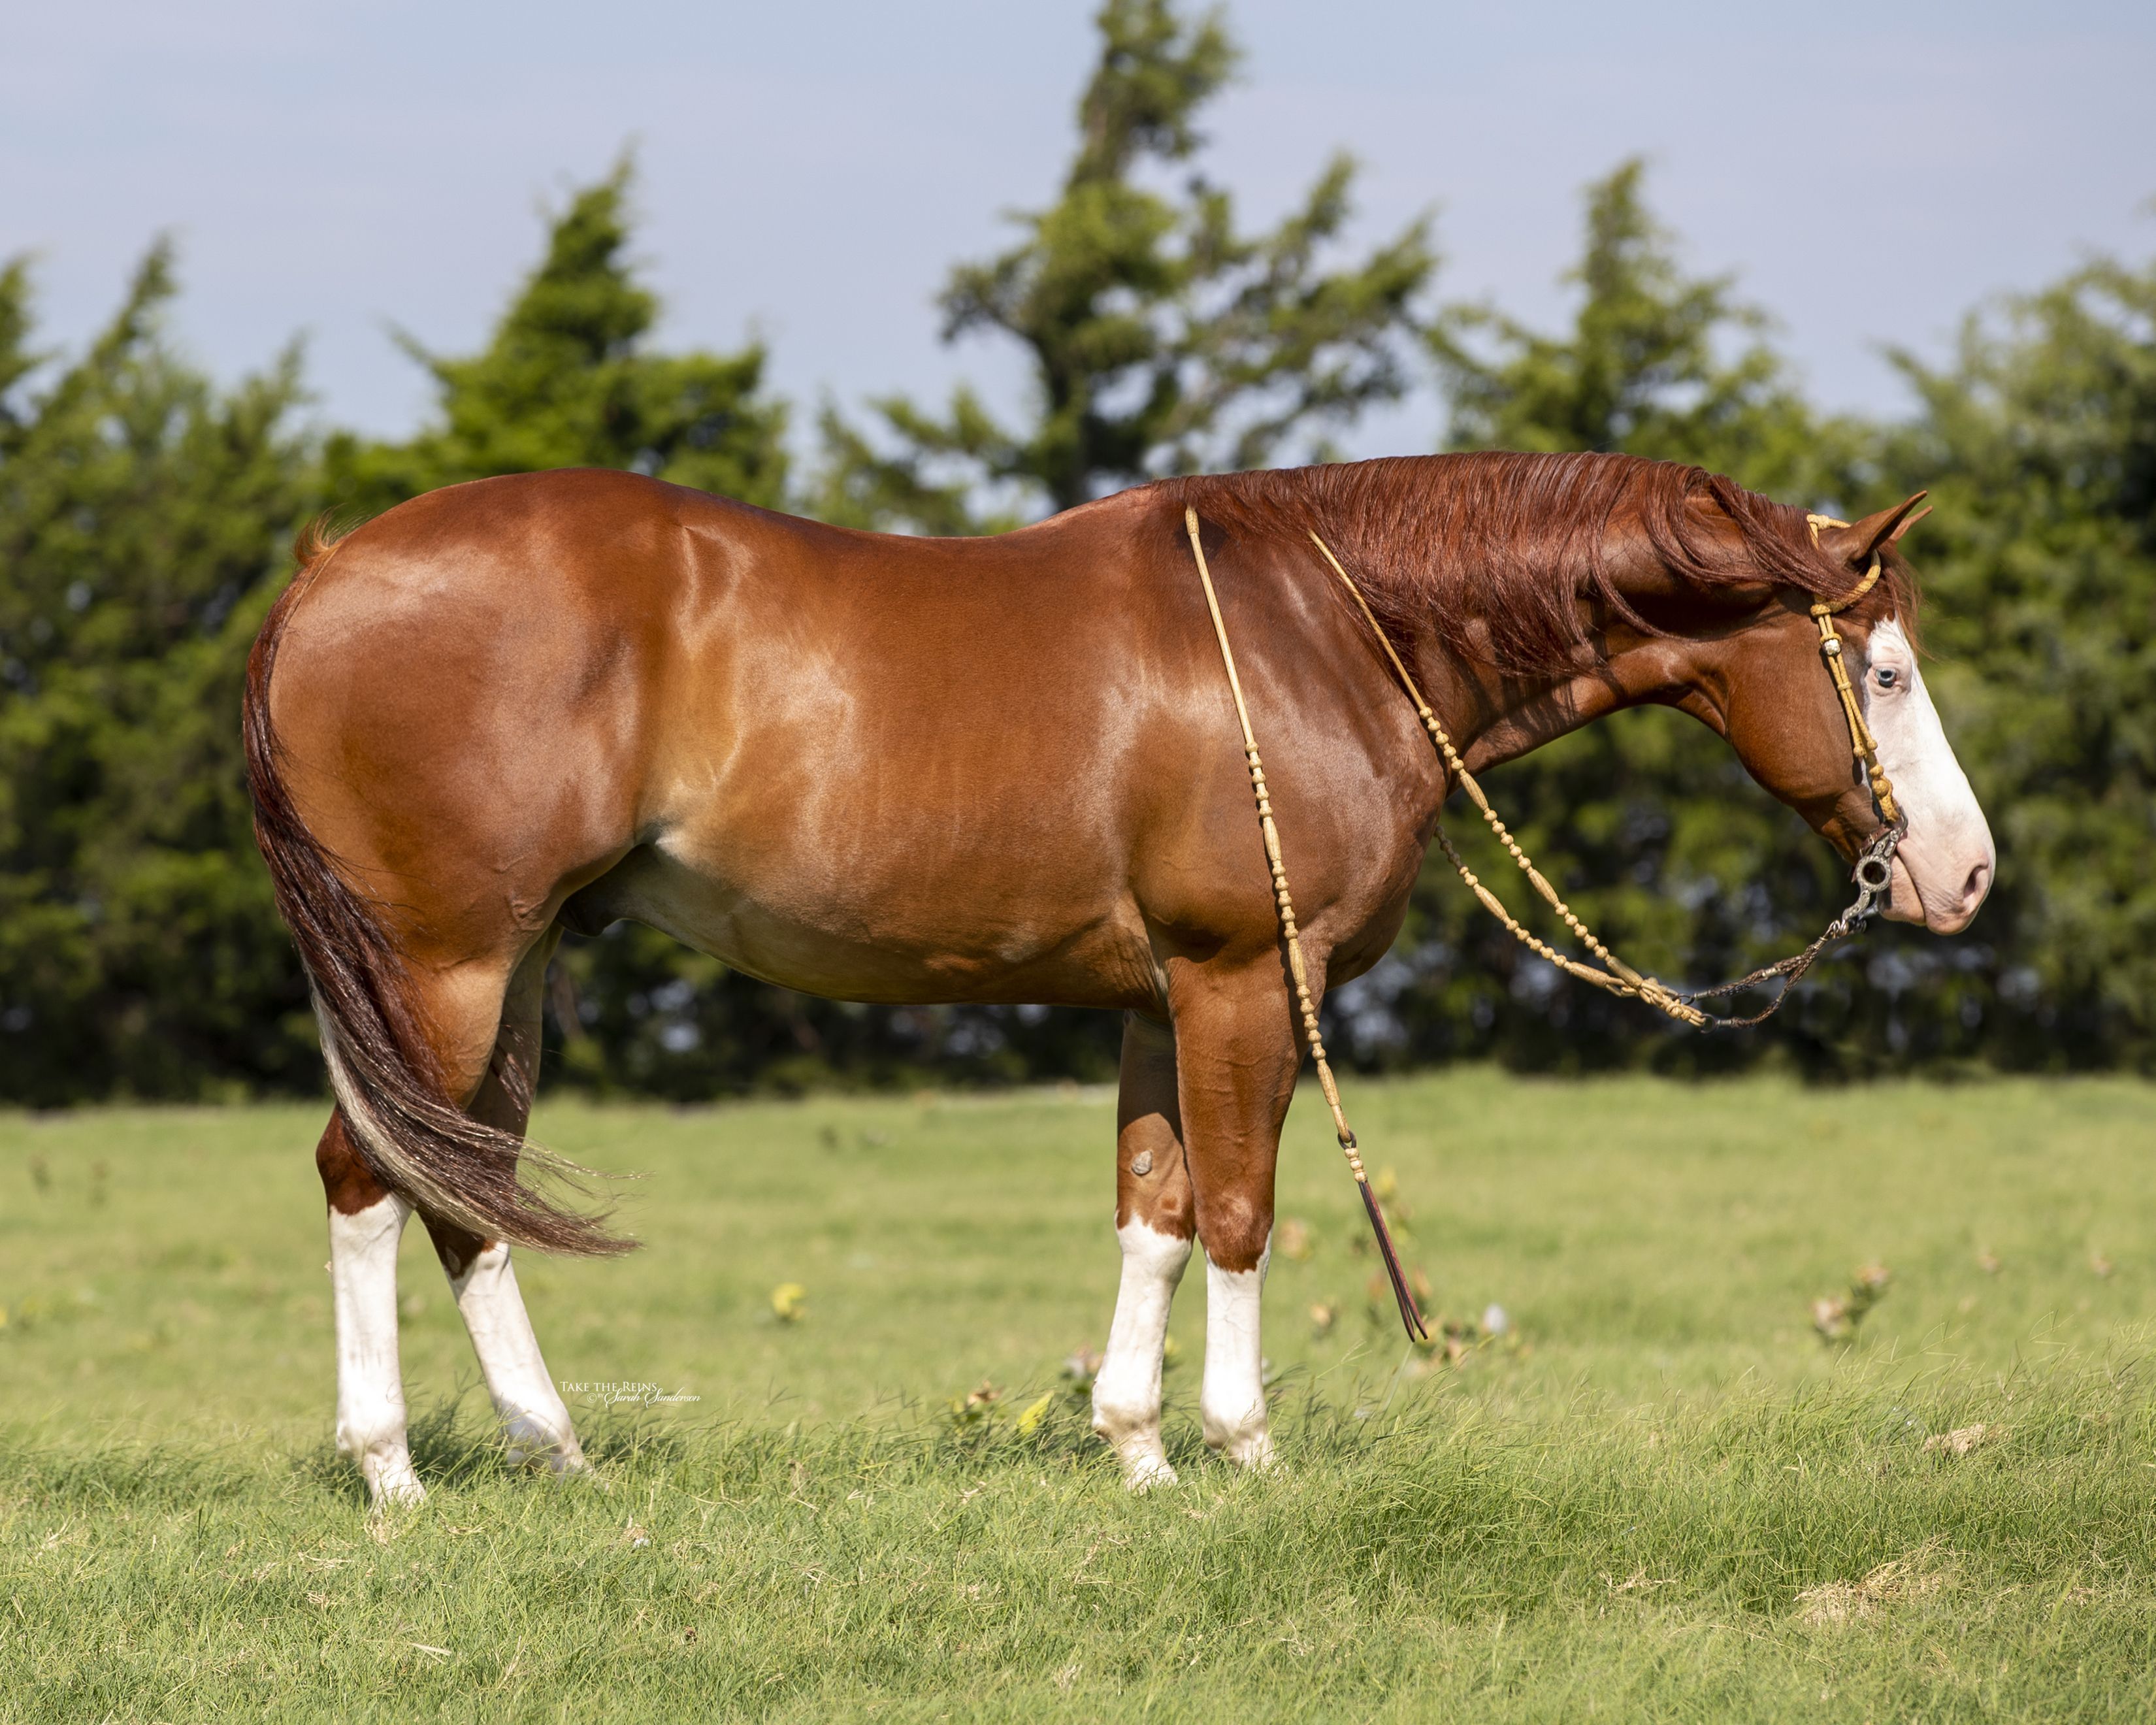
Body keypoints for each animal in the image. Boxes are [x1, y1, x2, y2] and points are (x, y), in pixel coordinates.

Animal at [244, 450, 1992, 1500]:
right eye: (1883, 670)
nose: (1965, 875)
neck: (1318, 631)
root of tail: (325, 571)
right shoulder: (1245, 980)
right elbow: (1239, 1215)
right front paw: (1244, 1447)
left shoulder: (1165, 1001)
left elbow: (1153, 1216)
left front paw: (1138, 1452)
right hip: (445, 964)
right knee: (368, 1178)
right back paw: (392, 1471)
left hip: (517, 965)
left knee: (466, 1192)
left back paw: (556, 1453)